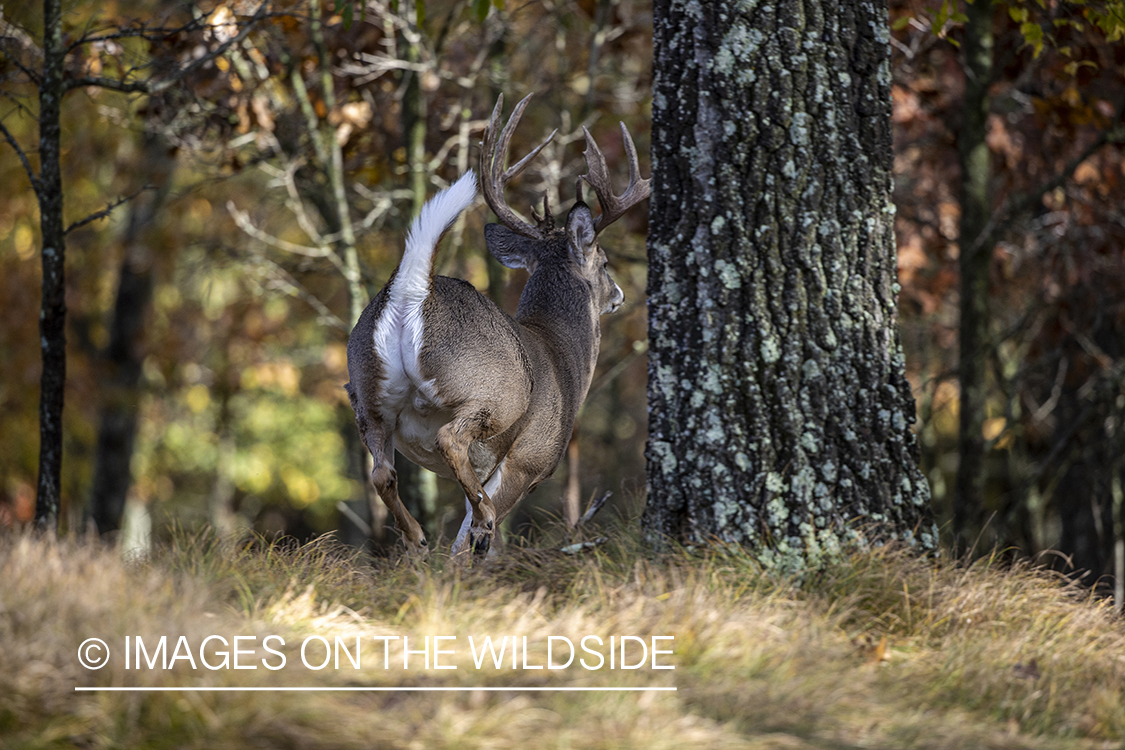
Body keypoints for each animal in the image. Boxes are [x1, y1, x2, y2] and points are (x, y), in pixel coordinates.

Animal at [342, 95, 648, 557]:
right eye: (607, 262)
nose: (620, 294)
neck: (562, 353)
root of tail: (415, 289)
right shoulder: (530, 458)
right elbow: (468, 539)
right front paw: (480, 542)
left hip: (366, 395)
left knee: (382, 471)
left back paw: (416, 538)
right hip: (493, 392)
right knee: (450, 440)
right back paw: (468, 525)